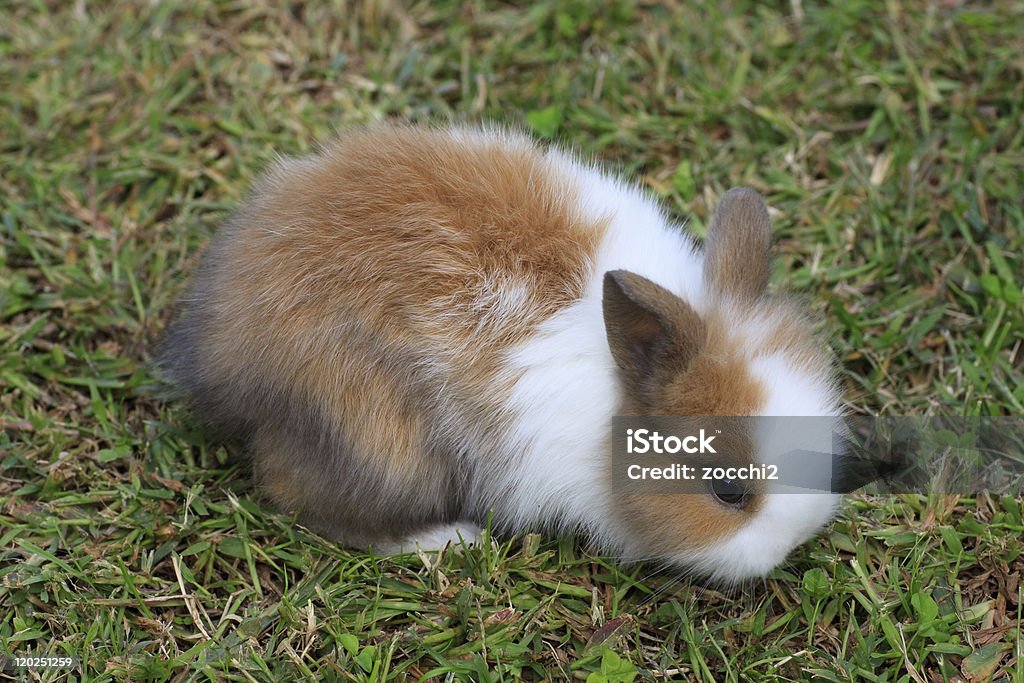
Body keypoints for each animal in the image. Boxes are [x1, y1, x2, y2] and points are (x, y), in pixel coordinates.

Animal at [159, 122, 843, 581]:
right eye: (727, 492)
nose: (791, 545)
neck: (614, 390)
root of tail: (220, 347)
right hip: (376, 437)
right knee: (313, 502)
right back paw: (453, 541)